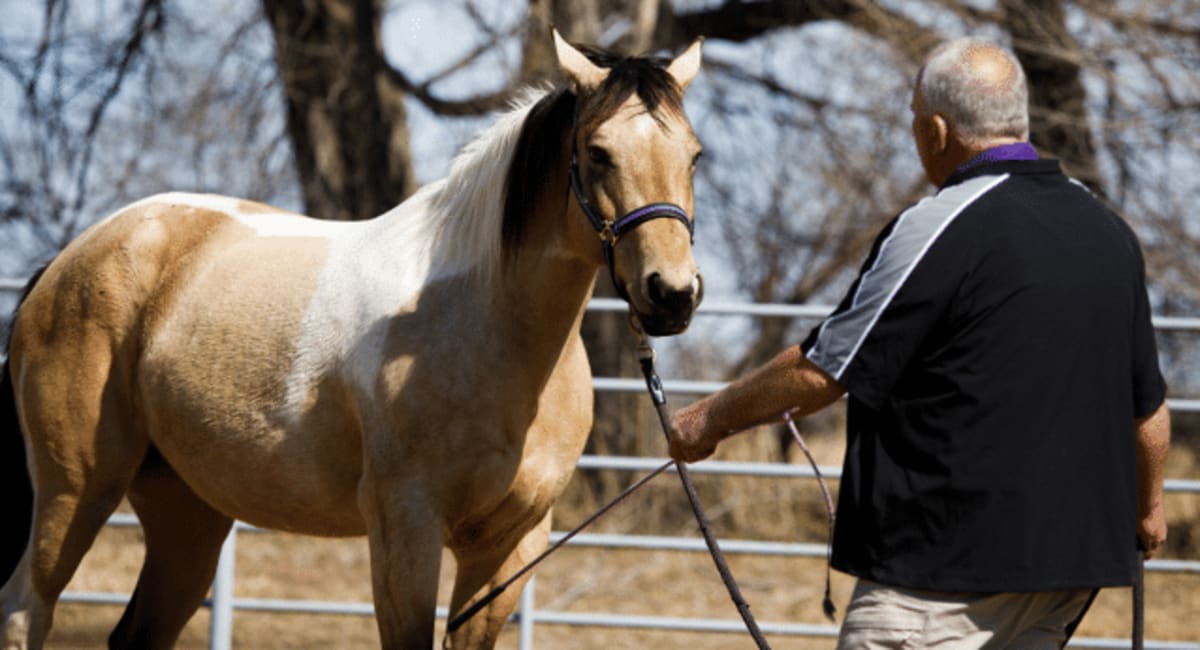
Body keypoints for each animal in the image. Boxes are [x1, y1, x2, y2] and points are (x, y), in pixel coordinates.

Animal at [0, 31, 705, 650]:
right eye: (598, 152)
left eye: (695, 155)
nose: (672, 293)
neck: (489, 325)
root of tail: (71, 259)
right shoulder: (404, 529)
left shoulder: (513, 543)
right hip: (76, 489)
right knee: (25, 609)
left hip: (187, 513)